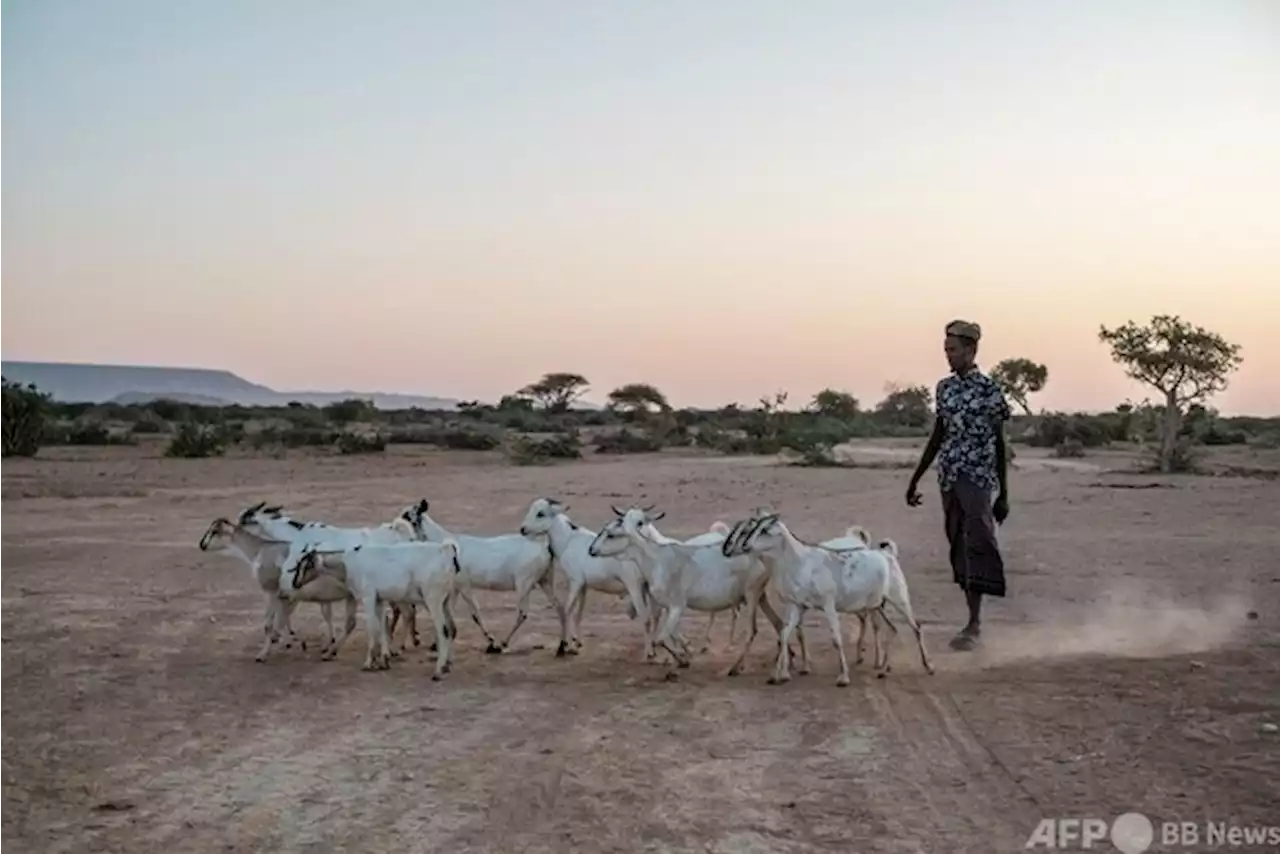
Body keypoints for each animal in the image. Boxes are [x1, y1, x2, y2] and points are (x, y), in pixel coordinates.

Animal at [282, 540, 463, 681]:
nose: (295, 583)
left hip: (433, 600)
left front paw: (369, 662)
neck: (348, 563)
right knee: (452, 628)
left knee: (443, 630)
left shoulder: (368, 597)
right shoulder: (379, 599)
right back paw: (446, 666)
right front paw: (384, 660)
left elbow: (371, 628)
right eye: (298, 565)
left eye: (306, 565)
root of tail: (447, 551)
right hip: (446, 601)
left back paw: (438, 671)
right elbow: (382, 626)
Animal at [396, 501, 563, 655]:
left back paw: (503, 642)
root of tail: (543, 546)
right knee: (559, 606)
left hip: (524, 583)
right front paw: (436, 643)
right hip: (545, 580)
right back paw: (563, 645)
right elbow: (449, 611)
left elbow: (475, 613)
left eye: (407, 516)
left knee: (522, 613)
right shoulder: (455, 588)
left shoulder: (464, 585)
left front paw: (492, 642)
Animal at [517, 496, 650, 660]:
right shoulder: (583, 587)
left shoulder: (575, 582)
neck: (568, 540)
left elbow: (567, 610)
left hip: (635, 588)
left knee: (646, 617)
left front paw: (564, 646)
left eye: (540, 513)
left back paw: (649, 653)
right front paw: (577, 641)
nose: (523, 529)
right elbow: (578, 613)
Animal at [727, 514, 936, 686]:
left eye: (764, 531)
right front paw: (778, 675)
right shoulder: (797, 606)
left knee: (916, 627)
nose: (744, 546)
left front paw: (843, 677)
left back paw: (928, 667)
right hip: (877, 605)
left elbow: (836, 638)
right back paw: (883, 671)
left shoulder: (828, 605)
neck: (802, 563)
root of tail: (888, 554)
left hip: (899, 599)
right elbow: (785, 634)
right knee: (891, 629)